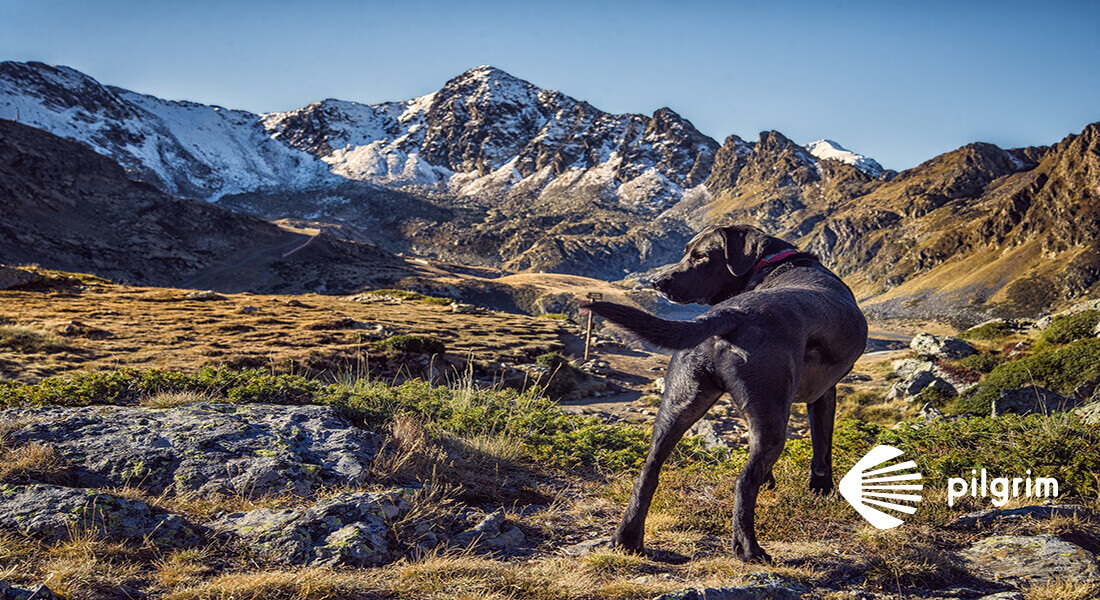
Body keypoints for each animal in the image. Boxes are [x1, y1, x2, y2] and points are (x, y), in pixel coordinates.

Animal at [585, 222, 866, 559]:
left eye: (699, 256)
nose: (657, 282)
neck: (774, 262)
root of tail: (728, 314)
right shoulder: (824, 392)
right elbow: (821, 448)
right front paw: (821, 492)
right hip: (773, 417)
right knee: (745, 480)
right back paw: (749, 548)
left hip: (679, 404)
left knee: (649, 469)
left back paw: (626, 540)